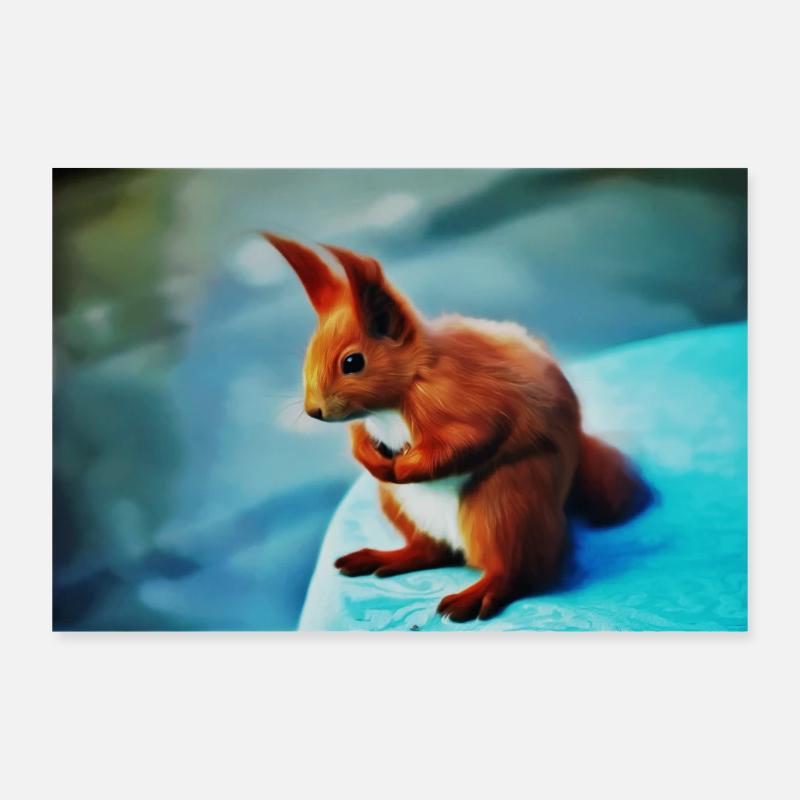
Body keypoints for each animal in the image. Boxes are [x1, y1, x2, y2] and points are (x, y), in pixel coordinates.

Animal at [265, 233, 646, 622]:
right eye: (310, 352)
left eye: (353, 362)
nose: (314, 411)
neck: (396, 398)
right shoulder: (367, 422)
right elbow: (358, 438)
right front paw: (373, 460)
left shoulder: (462, 400)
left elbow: (471, 439)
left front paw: (405, 467)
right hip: (400, 506)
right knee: (434, 552)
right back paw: (385, 557)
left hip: (506, 503)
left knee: (521, 570)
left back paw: (478, 594)